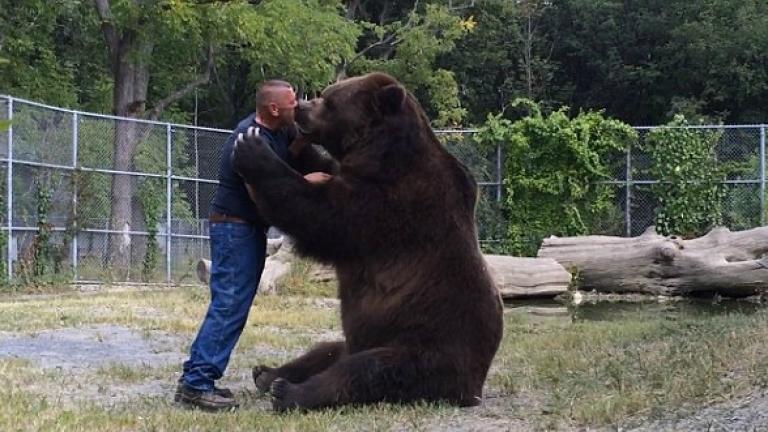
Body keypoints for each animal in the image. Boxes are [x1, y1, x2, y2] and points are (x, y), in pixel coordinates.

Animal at [231, 71, 504, 412]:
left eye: (330, 100)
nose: (301, 108)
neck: (382, 156)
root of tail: (476, 384)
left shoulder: (392, 204)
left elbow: (321, 215)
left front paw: (254, 150)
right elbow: (321, 170)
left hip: (428, 345)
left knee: (370, 370)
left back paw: (290, 392)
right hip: (364, 341)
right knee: (327, 350)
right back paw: (268, 373)